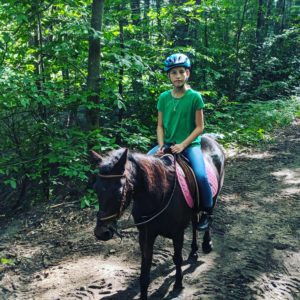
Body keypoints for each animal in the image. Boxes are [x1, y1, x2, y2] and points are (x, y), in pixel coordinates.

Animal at [92, 136, 224, 300]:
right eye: (96, 189)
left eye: (118, 191)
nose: (101, 232)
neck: (158, 194)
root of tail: (210, 138)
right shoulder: (146, 234)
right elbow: (145, 266)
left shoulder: (178, 233)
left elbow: (177, 258)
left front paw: (178, 284)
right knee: (194, 222)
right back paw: (193, 251)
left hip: (215, 193)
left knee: (208, 215)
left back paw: (207, 244)